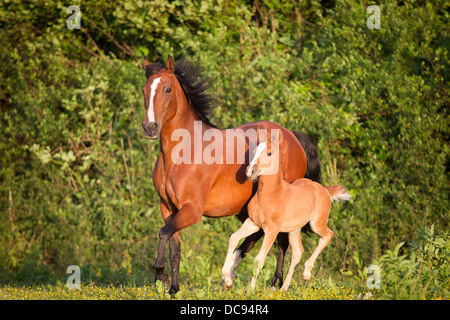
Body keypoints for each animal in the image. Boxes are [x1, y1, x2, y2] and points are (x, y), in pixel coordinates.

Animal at [141, 54, 320, 292]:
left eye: (167, 89)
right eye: (144, 89)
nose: (150, 127)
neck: (181, 153)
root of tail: (292, 136)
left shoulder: (191, 211)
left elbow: (163, 233)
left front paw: (160, 274)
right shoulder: (168, 208)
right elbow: (174, 248)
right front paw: (173, 289)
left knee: (280, 241)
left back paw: (275, 283)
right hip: (246, 207)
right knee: (256, 233)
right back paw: (231, 272)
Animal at [221, 129, 352, 290]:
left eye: (269, 153)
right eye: (254, 151)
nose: (250, 171)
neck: (271, 194)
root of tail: (325, 190)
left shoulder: (272, 230)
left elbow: (259, 259)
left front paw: (250, 290)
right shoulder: (253, 223)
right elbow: (233, 238)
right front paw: (227, 279)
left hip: (316, 224)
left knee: (328, 235)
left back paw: (306, 273)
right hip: (294, 230)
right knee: (298, 252)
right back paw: (284, 289)